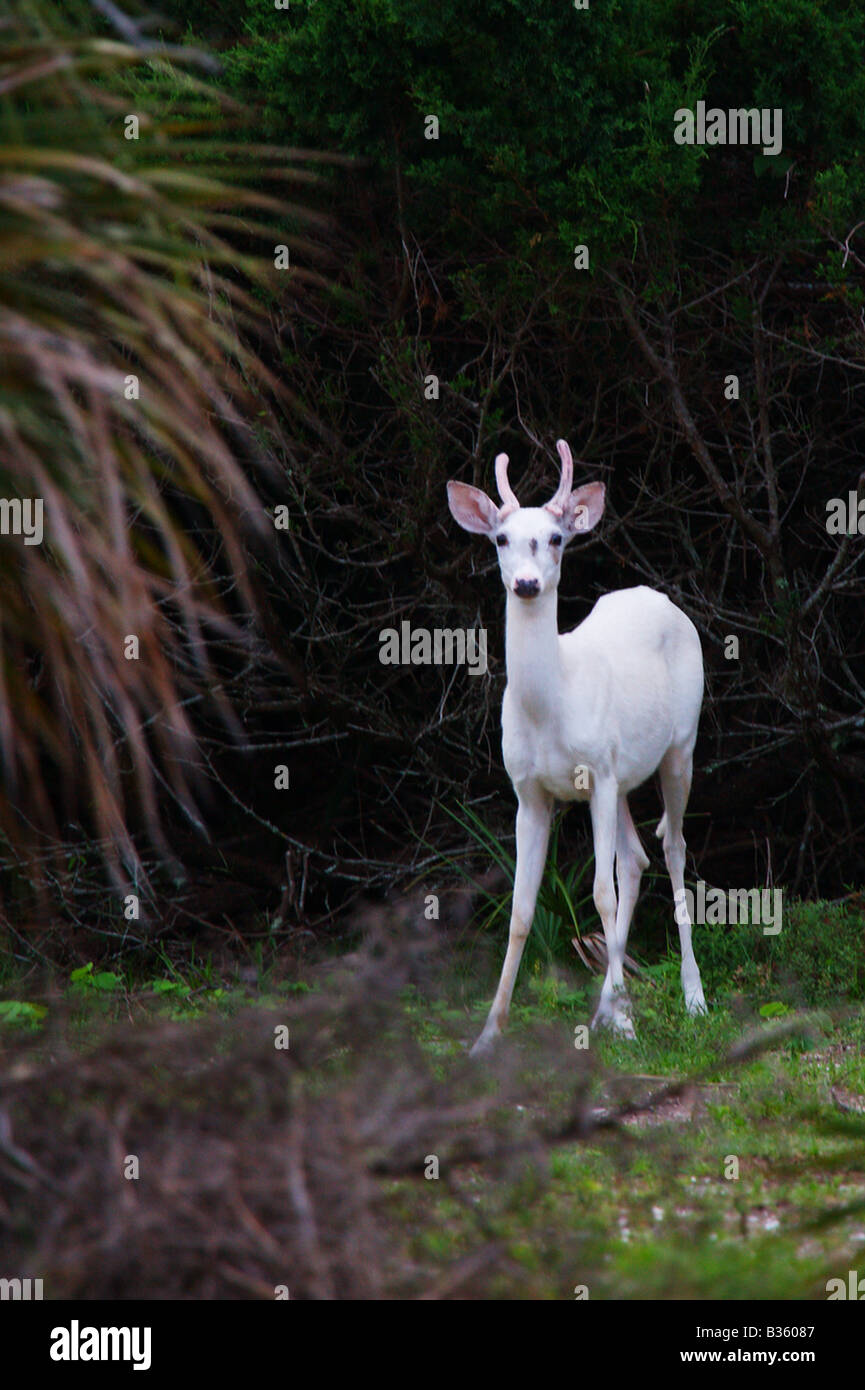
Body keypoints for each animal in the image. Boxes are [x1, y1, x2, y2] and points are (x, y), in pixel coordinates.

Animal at [447, 440, 706, 1055]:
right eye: (501, 538)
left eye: (557, 538)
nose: (525, 584)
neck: (551, 705)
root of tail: (663, 600)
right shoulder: (529, 791)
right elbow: (520, 908)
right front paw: (489, 1033)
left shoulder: (600, 776)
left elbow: (600, 893)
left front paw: (630, 1024)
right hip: (627, 770)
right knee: (636, 858)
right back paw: (605, 1005)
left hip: (680, 746)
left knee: (673, 848)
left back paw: (691, 997)